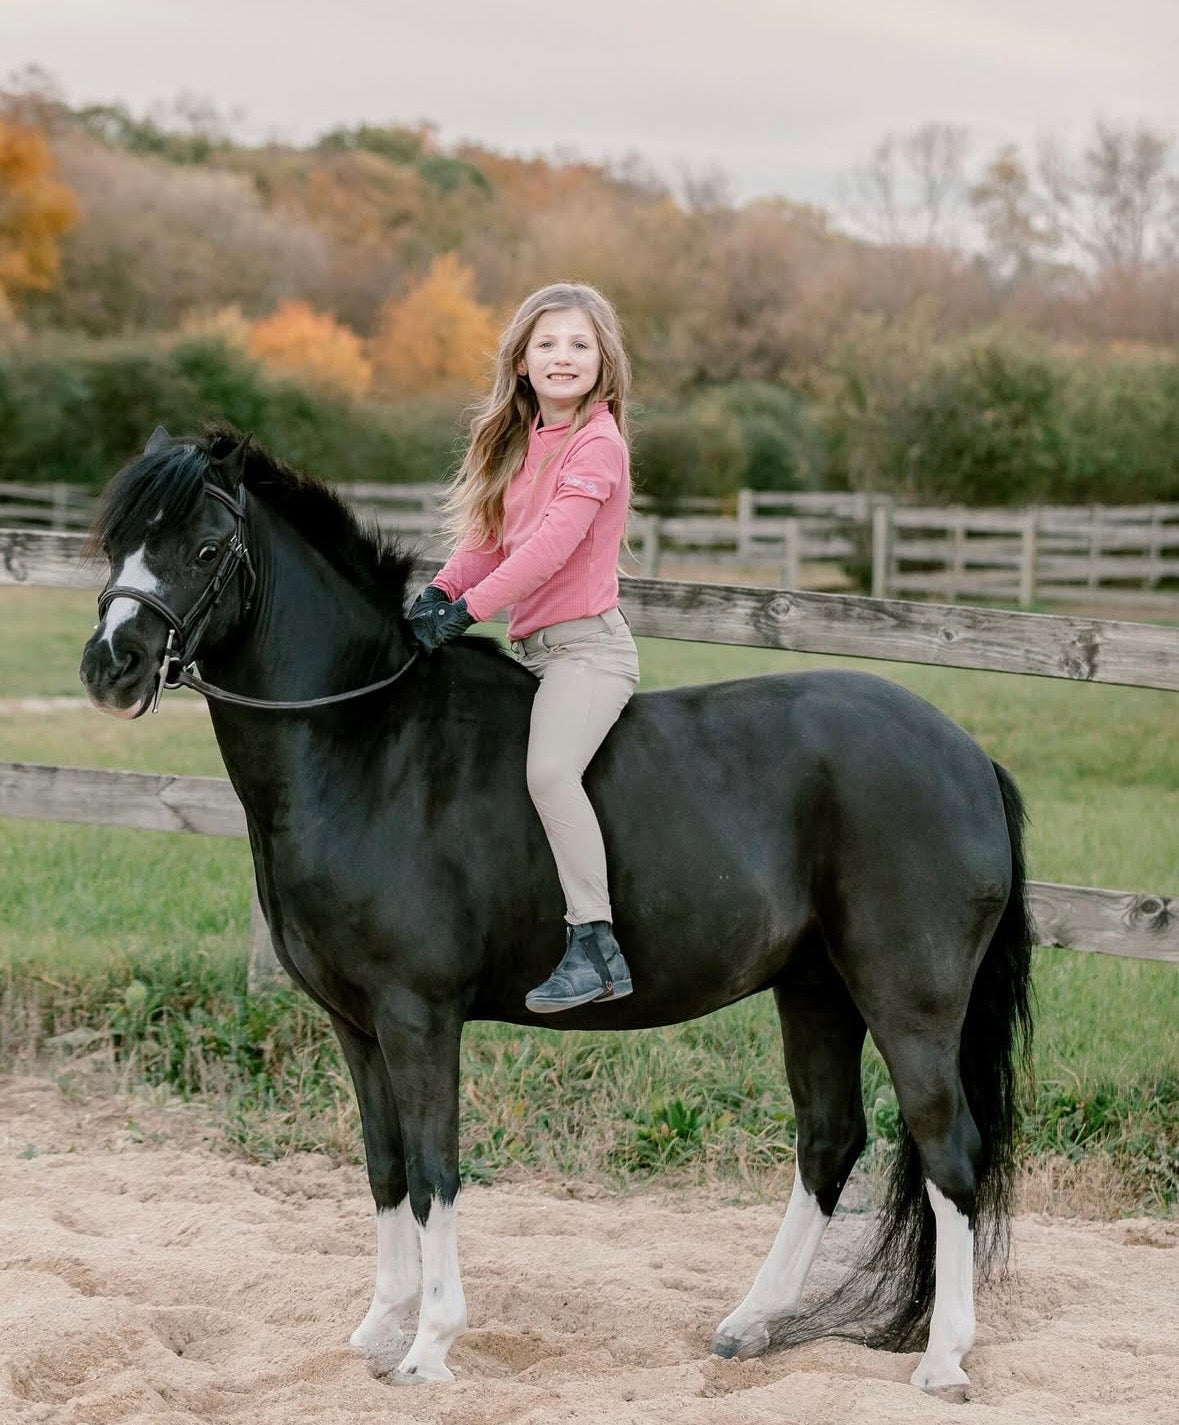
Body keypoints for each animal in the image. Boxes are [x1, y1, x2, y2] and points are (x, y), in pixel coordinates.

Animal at [79, 426, 1033, 1399]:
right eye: (116, 543)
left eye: (204, 550)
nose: (110, 667)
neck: (370, 744)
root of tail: (965, 754)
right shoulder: (355, 1022)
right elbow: (385, 1165)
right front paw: (377, 1329)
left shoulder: (417, 1014)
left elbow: (433, 1169)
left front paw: (430, 1345)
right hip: (814, 989)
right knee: (829, 1140)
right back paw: (750, 1324)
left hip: (905, 998)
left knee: (946, 1146)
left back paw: (943, 1360)